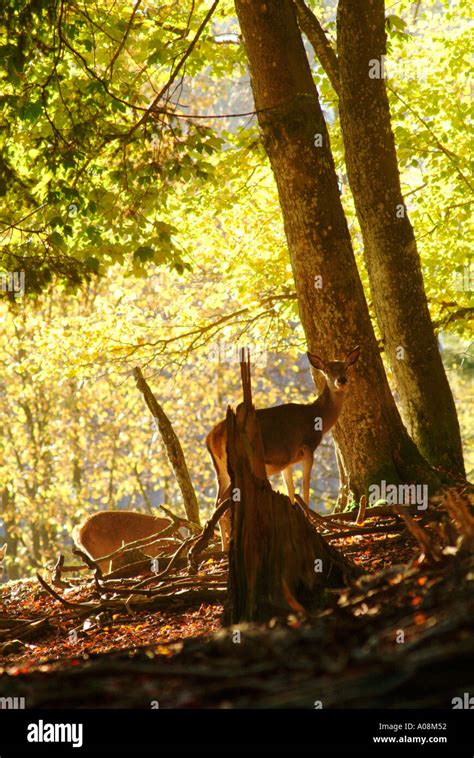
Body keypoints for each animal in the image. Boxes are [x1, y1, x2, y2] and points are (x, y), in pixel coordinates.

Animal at [206, 348, 362, 548]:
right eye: (327, 369)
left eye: (345, 367)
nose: (341, 380)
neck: (318, 418)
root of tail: (211, 437)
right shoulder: (307, 447)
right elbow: (305, 486)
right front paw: (312, 524)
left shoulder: (287, 461)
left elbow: (290, 490)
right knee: (222, 504)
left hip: (221, 471)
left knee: (217, 503)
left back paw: (225, 547)